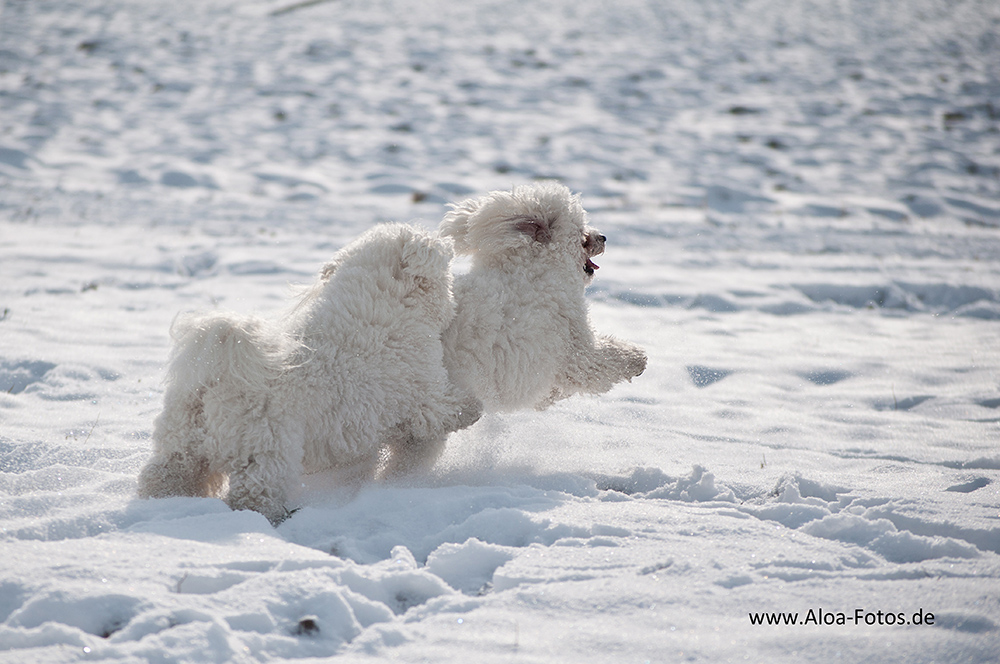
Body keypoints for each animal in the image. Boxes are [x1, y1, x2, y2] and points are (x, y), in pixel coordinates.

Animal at [139, 223, 482, 524]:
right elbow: (445, 409)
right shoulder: (420, 392)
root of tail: (216, 382)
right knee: (253, 495)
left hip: (181, 439)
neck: (383, 307)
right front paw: (473, 409)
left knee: (164, 474)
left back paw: (163, 504)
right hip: (266, 453)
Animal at [440, 179, 648, 412]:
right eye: (582, 235)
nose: (603, 237)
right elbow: (595, 362)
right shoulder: (574, 347)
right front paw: (637, 359)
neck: (535, 269)